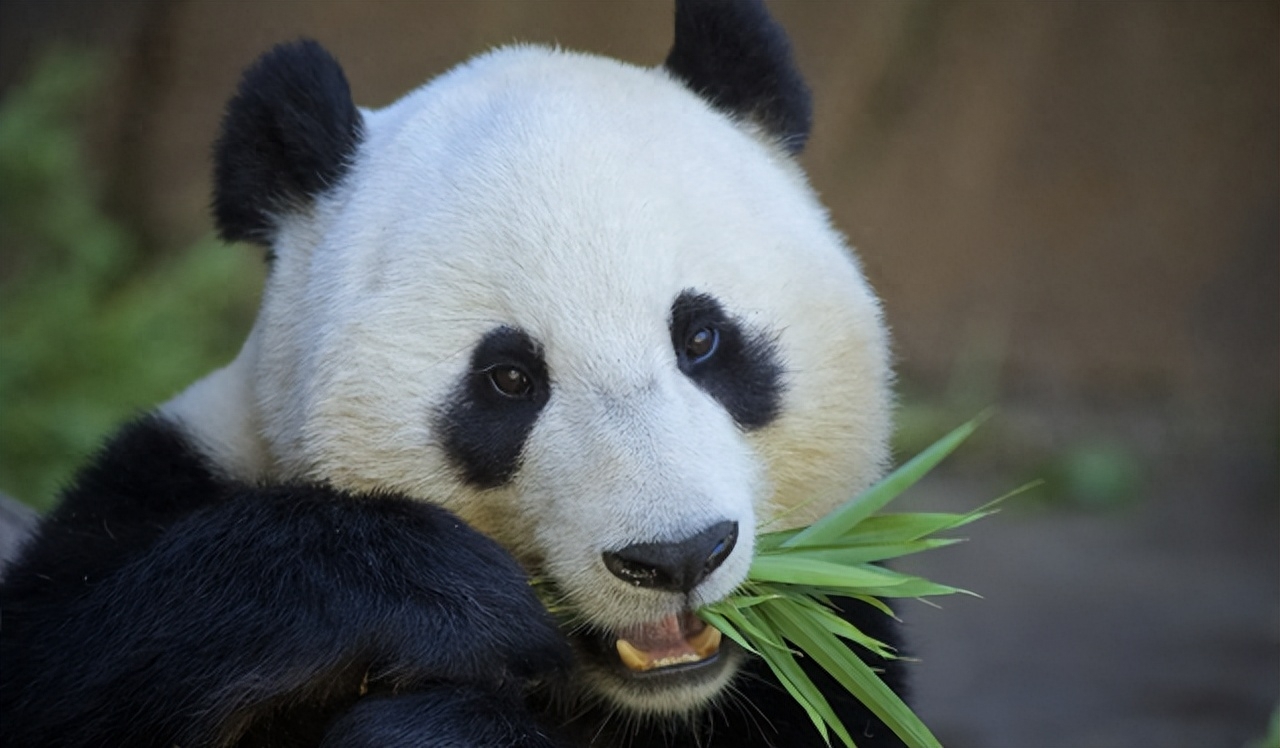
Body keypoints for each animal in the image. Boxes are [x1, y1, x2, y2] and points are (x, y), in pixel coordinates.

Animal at [2, 2, 901, 742]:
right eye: (509, 379)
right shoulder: (174, 482)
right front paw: (457, 602)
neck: (635, 700)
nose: (676, 557)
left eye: (703, 340)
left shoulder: (835, 639)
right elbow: (67, 660)